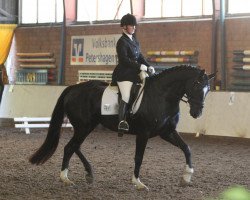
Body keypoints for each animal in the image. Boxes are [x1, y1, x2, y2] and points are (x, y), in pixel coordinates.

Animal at [28, 65, 215, 191]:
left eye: (208, 90)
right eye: (197, 85)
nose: (197, 113)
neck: (162, 96)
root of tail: (74, 88)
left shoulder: (166, 132)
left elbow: (187, 148)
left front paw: (186, 177)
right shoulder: (144, 133)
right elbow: (139, 157)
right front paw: (138, 182)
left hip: (86, 126)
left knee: (75, 146)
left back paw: (88, 173)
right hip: (83, 127)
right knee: (70, 147)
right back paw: (65, 178)